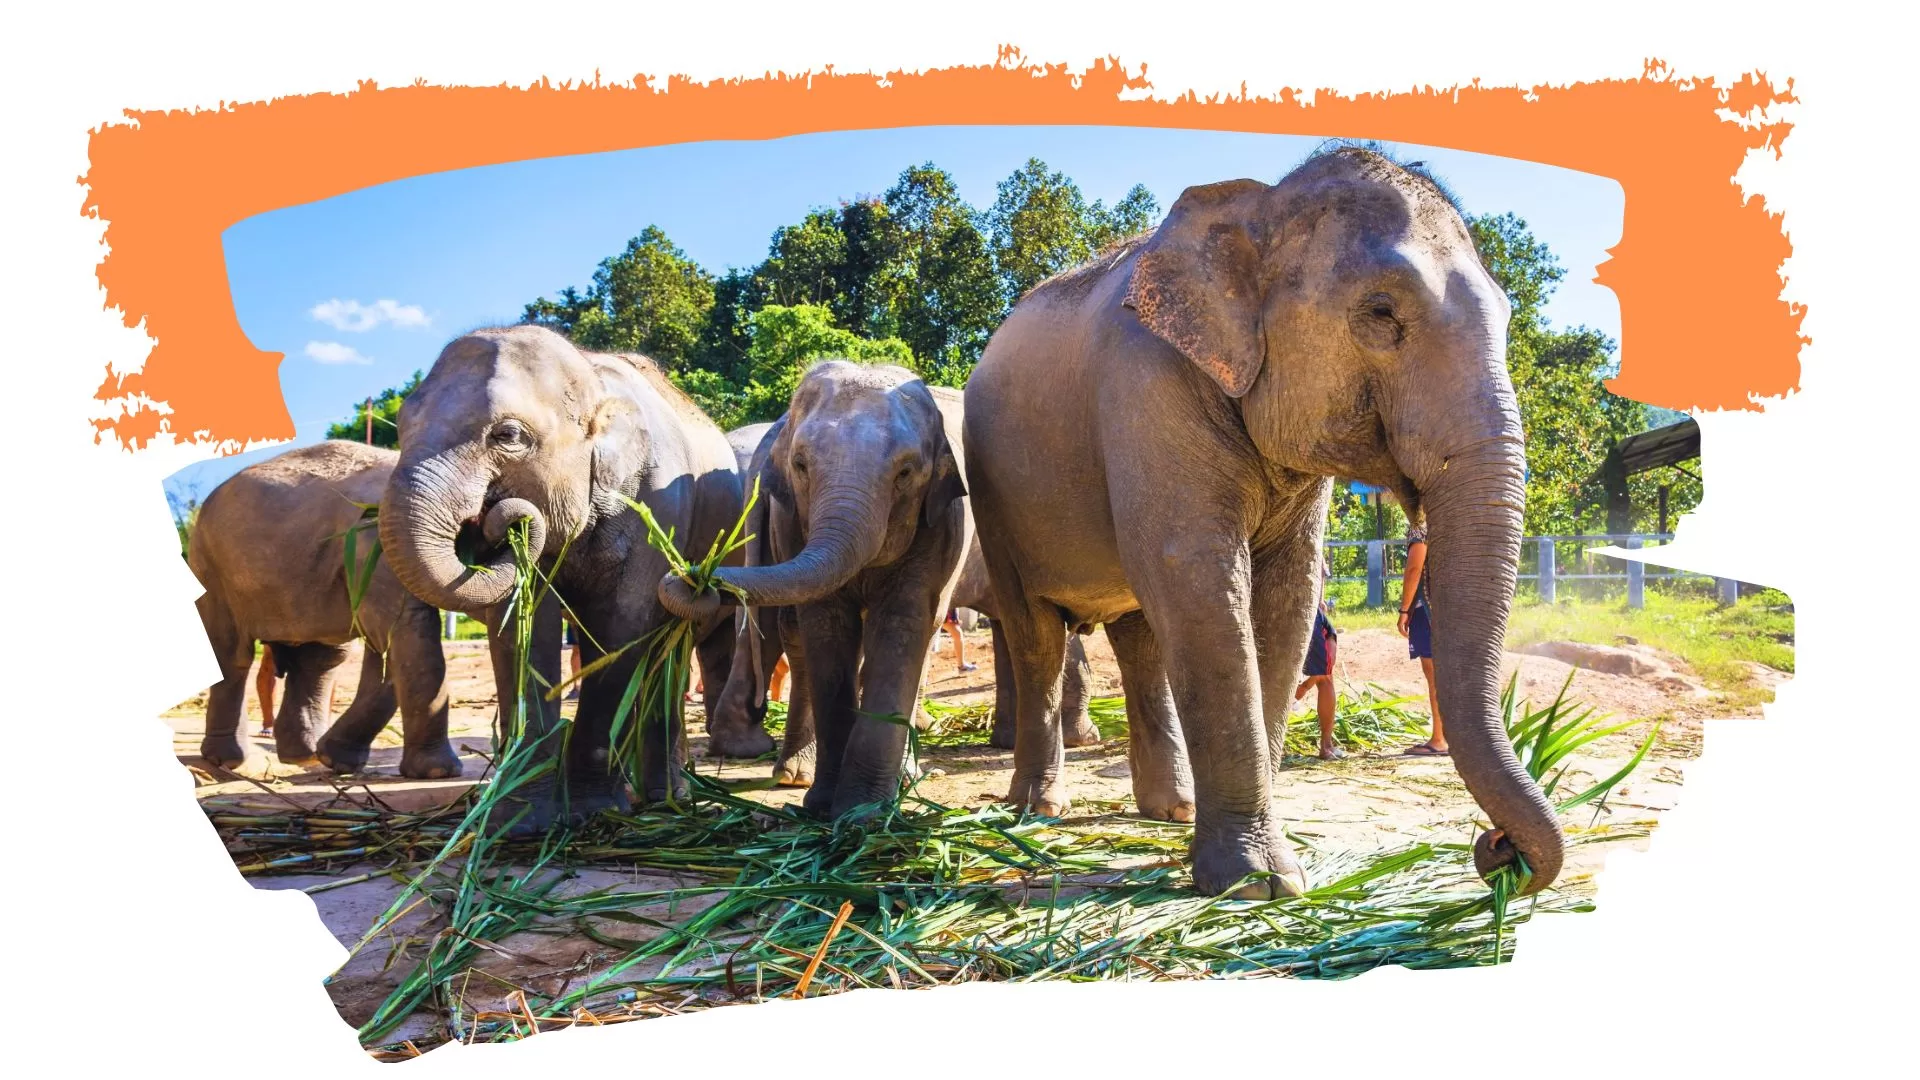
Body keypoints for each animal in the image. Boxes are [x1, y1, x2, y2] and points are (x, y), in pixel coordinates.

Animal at [186, 440, 460, 779]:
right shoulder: (379, 544)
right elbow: (403, 630)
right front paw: (438, 772)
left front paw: (338, 761)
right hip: (210, 566)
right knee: (231, 653)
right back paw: (228, 761)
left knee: (319, 658)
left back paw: (304, 756)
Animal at [378, 325, 743, 834]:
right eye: (402, 422)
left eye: (508, 435)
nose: (498, 521)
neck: (592, 379)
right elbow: (523, 630)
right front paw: (520, 821)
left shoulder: (658, 509)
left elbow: (621, 628)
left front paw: (594, 811)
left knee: (669, 651)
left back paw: (665, 801)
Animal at [660, 361, 969, 819]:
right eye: (801, 465)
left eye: (906, 473)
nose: (695, 579)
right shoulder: (791, 522)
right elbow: (826, 626)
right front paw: (829, 807)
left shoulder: (938, 526)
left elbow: (902, 625)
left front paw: (862, 812)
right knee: (795, 634)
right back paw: (793, 774)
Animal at [963, 146, 1562, 899]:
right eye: (1381, 313)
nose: (1496, 850)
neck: (1259, 205)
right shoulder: (1144, 386)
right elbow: (1198, 577)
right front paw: (1257, 884)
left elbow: (1288, 595)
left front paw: (1265, 870)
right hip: (995, 499)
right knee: (1036, 633)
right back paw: (1036, 810)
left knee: (1139, 636)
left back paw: (1170, 808)